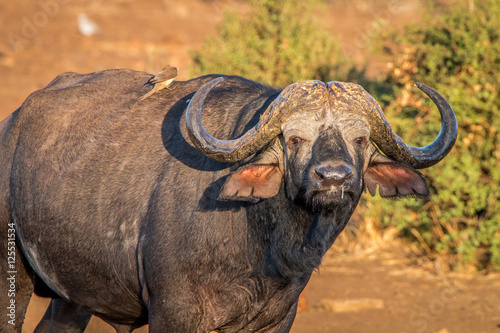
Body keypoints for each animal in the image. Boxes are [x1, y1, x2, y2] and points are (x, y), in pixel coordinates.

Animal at [0, 68, 458, 330]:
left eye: (359, 139)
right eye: (295, 138)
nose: (333, 177)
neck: (261, 248)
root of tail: (14, 122)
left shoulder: (277, 320)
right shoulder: (174, 314)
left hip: (72, 297)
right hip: (14, 280)